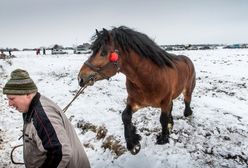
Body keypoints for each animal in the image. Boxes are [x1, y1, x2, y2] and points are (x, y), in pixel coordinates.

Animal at [77, 26, 196, 155]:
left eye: (103, 52)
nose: (80, 78)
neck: (149, 78)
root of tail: (187, 59)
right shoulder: (135, 102)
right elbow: (125, 116)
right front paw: (133, 143)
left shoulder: (164, 102)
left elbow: (162, 119)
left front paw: (163, 138)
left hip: (187, 90)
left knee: (187, 101)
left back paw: (187, 113)